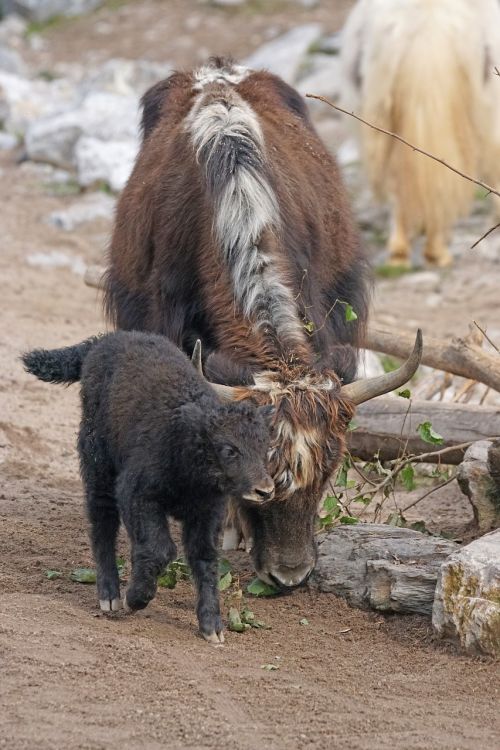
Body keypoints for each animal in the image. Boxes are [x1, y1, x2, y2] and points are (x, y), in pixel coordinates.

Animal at [23, 332, 274, 644]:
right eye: (230, 450)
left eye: (266, 447)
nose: (265, 490)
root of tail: (105, 340)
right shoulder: (137, 494)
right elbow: (160, 549)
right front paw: (135, 599)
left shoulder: (206, 515)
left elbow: (204, 559)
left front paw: (212, 627)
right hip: (97, 465)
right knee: (102, 522)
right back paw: (109, 596)